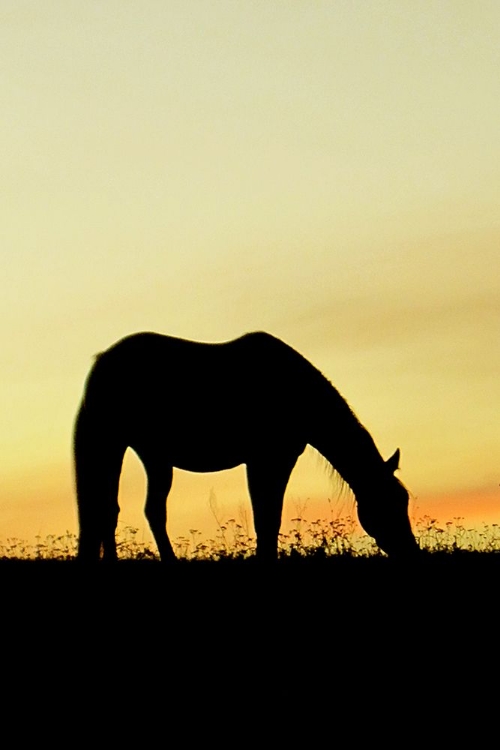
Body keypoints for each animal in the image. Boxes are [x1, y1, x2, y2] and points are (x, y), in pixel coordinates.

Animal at [74, 332, 418, 560]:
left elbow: (269, 516)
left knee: (123, 509)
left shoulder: (276, 459)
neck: (295, 391)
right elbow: (265, 516)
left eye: (404, 501)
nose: (411, 552)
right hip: (114, 445)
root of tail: (103, 360)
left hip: (150, 456)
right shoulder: (266, 459)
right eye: (386, 504)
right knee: (112, 509)